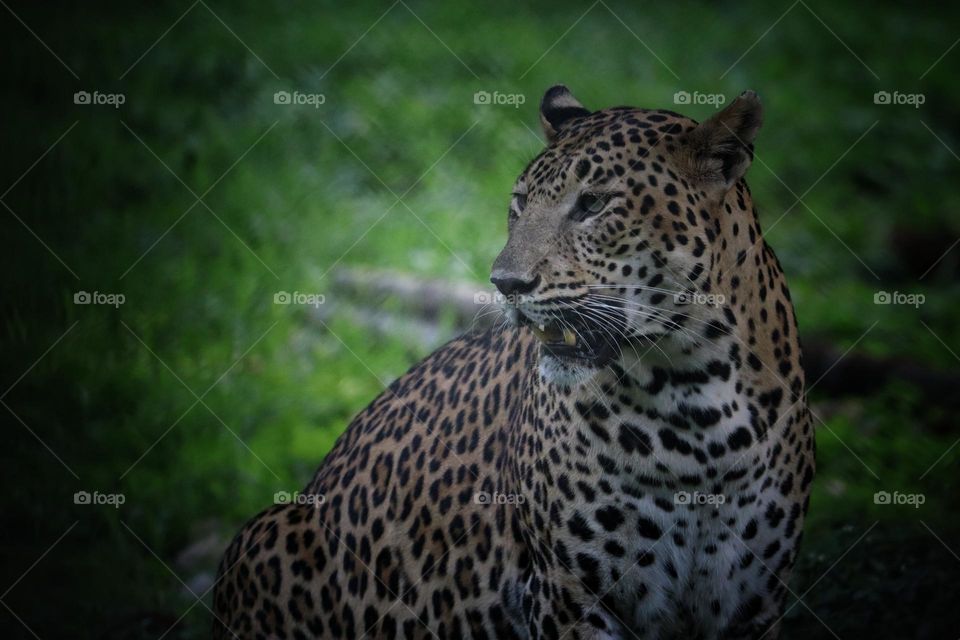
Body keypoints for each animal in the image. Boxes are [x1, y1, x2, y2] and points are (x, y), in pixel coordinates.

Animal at [213, 84, 815, 640]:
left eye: (593, 204)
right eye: (520, 203)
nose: (505, 284)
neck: (693, 398)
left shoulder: (753, 603)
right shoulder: (571, 595)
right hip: (264, 530)